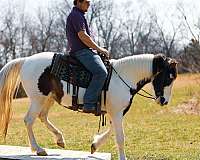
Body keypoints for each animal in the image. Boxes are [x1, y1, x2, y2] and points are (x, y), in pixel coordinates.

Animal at [0, 52, 178, 159]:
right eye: (168, 77)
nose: (164, 101)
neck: (124, 76)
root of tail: (25, 60)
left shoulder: (115, 112)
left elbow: (112, 130)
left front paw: (94, 145)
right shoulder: (117, 112)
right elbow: (120, 137)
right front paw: (122, 157)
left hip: (48, 98)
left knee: (42, 116)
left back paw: (59, 139)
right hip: (38, 99)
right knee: (29, 120)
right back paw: (38, 149)